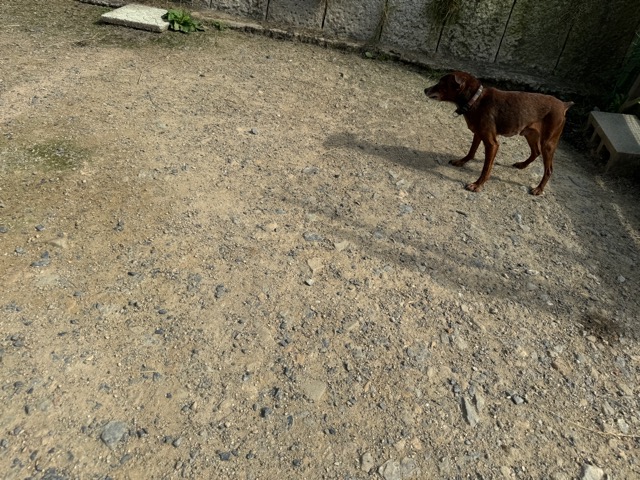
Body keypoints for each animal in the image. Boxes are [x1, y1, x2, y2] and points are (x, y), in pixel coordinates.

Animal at [424, 71, 573, 195]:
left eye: (440, 83)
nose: (425, 89)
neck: (475, 99)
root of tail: (564, 105)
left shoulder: (492, 144)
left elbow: (486, 168)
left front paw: (477, 185)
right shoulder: (478, 133)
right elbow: (471, 151)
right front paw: (461, 161)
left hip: (548, 143)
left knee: (549, 169)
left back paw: (538, 189)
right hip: (529, 134)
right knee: (536, 152)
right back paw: (522, 165)